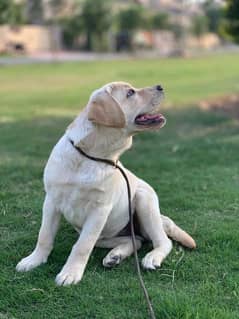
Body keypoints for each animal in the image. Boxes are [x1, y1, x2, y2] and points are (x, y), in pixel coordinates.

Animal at [16, 81, 196, 286]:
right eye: (130, 92)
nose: (160, 86)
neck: (91, 156)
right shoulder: (51, 201)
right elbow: (44, 235)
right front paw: (33, 260)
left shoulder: (99, 210)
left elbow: (82, 246)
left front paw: (70, 273)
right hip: (104, 234)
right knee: (135, 240)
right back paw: (115, 256)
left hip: (143, 200)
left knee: (163, 241)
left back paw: (151, 257)